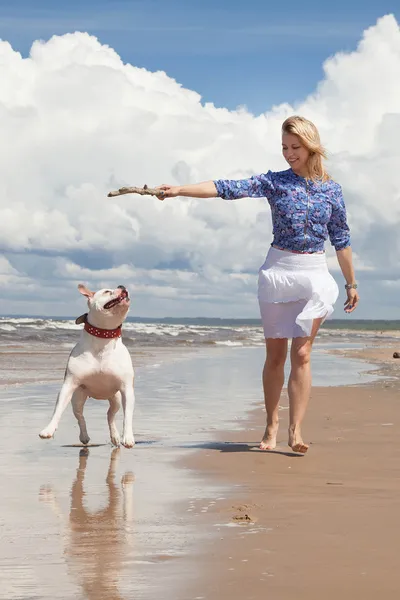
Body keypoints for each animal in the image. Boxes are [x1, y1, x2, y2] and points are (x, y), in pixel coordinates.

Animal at [39, 284, 136, 448]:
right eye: (107, 291)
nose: (122, 286)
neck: (104, 337)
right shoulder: (69, 385)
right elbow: (57, 410)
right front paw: (48, 429)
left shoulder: (126, 388)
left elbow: (128, 415)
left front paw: (128, 437)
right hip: (77, 397)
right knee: (80, 416)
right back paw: (84, 436)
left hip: (115, 398)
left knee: (110, 415)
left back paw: (115, 436)